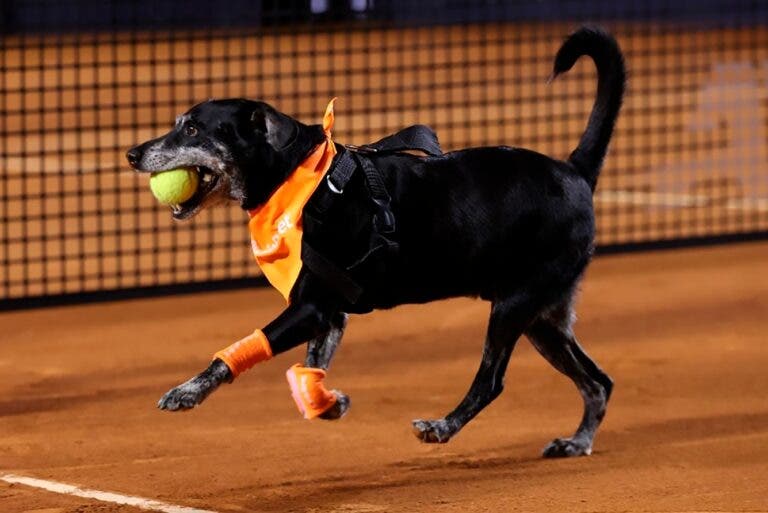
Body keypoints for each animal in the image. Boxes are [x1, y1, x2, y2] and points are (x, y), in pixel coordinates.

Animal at [127, 27, 624, 456]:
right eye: (179, 124)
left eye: (193, 129)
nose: (131, 153)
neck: (300, 178)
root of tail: (575, 171)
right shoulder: (331, 316)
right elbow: (309, 371)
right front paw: (328, 404)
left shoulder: (311, 308)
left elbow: (240, 351)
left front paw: (187, 391)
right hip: (544, 320)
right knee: (598, 381)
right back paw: (577, 442)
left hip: (514, 307)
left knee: (492, 382)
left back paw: (442, 426)